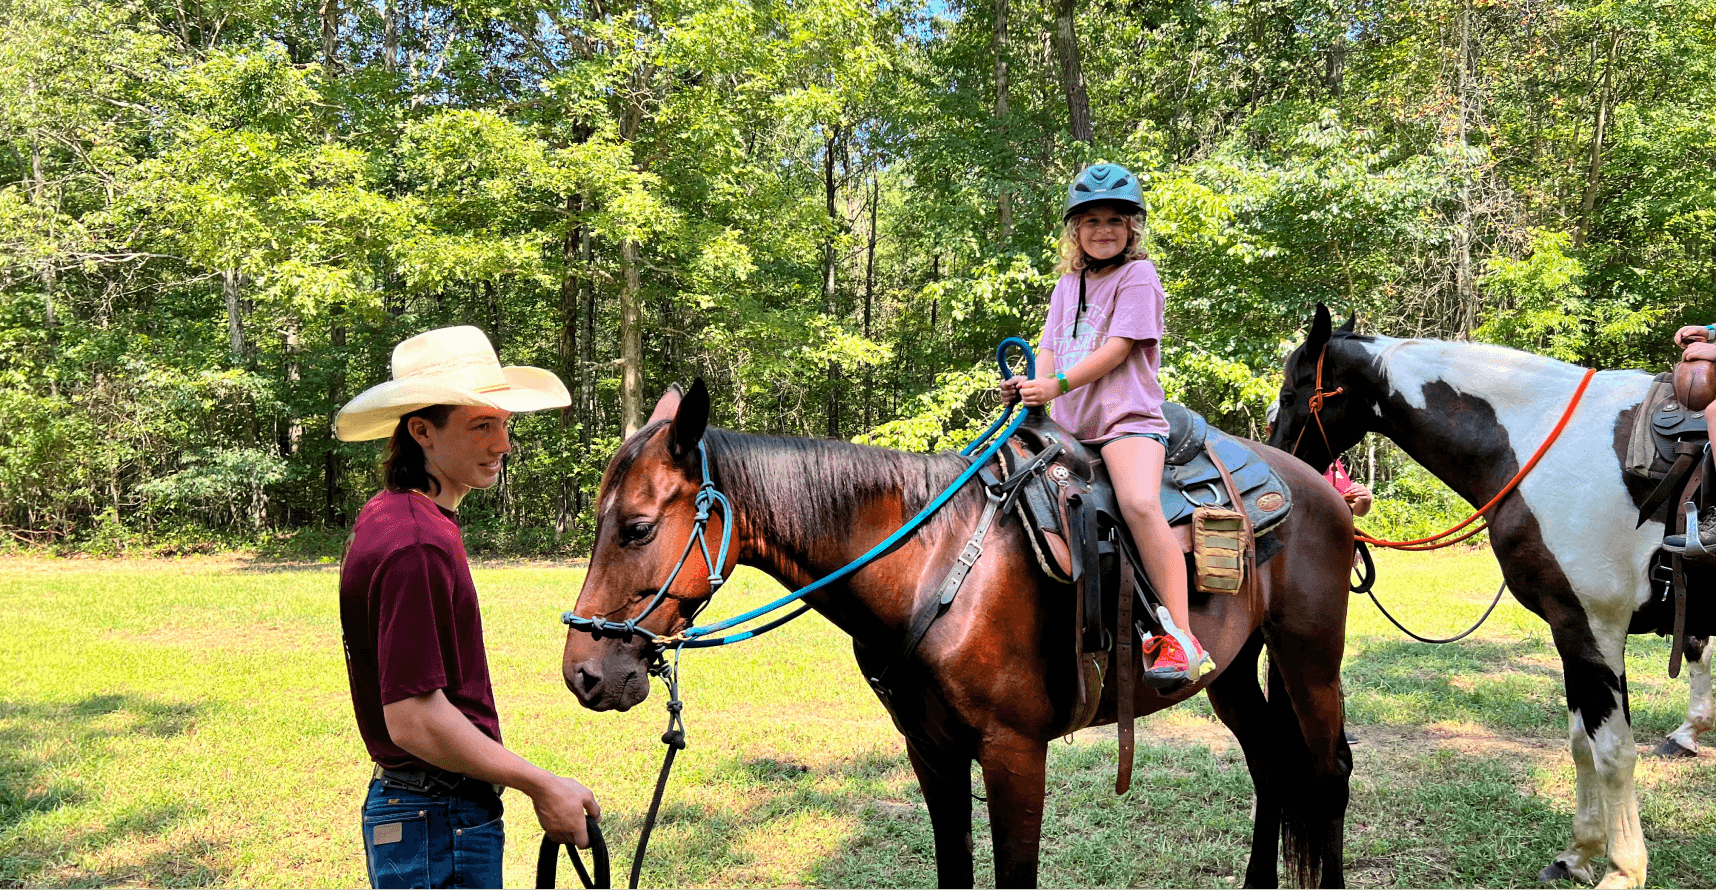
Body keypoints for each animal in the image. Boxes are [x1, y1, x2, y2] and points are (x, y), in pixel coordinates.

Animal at [559, 378, 1352, 884]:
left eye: (636, 528)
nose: (584, 672)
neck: (933, 565)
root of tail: (1317, 484)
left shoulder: (1014, 753)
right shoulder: (933, 753)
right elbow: (954, 870)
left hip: (1310, 661)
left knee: (1328, 771)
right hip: (1234, 671)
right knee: (1272, 765)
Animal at [1262, 303, 1716, 884]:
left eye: (1289, 396)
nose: (1278, 464)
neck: (1537, 443)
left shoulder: (1595, 629)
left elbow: (1613, 752)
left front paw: (1623, 870)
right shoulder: (1569, 630)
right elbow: (1582, 744)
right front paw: (1579, 853)